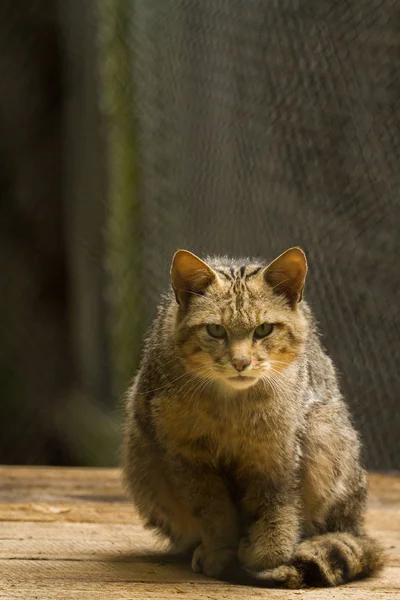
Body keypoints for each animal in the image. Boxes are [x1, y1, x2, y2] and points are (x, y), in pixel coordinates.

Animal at [122, 246, 384, 588]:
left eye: (263, 330)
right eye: (215, 330)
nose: (241, 362)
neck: (231, 408)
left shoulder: (275, 457)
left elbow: (276, 513)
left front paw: (269, 558)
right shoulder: (189, 459)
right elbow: (214, 514)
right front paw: (219, 553)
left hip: (325, 434)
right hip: (141, 452)